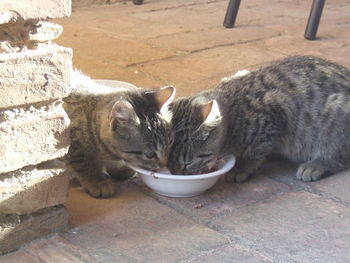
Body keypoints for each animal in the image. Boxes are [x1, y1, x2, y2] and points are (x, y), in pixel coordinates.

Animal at [168, 55, 350, 184]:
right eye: (168, 162)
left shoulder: (275, 114)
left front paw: (242, 167)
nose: (177, 174)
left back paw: (317, 164)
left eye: (188, 162)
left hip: (336, 114)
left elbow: (256, 150)